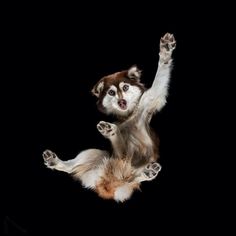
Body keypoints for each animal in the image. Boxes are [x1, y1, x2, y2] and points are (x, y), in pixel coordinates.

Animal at [42, 33, 176, 202]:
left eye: (125, 87)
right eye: (111, 92)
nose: (121, 101)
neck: (127, 117)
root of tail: (108, 182)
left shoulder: (147, 103)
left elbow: (158, 84)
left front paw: (165, 52)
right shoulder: (119, 155)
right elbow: (120, 147)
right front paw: (111, 132)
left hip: (129, 175)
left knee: (132, 178)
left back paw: (146, 172)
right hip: (99, 162)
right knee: (92, 159)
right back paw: (57, 161)